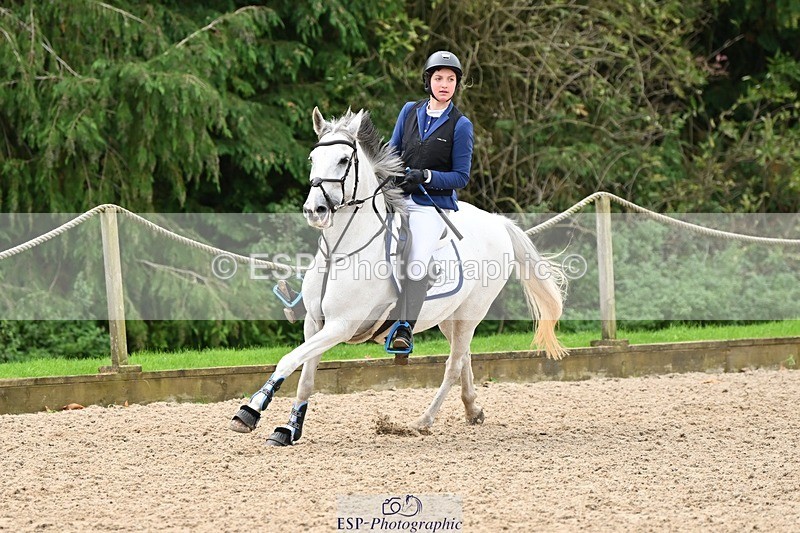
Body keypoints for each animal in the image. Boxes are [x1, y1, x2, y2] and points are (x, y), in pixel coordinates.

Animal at [229, 107, 567, 446]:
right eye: (313, 158)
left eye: (343, 160)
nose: (315, 210)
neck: (340, 250)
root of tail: (497, 222)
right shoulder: (315, 322)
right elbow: (306, 378)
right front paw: (289, 429)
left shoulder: (341, 325)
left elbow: (289, 359)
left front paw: (250, 410)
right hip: (450, 316)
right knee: (465, 358)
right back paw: (473, 410)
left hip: (472, 311)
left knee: (453, 365)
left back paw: (422, 421)